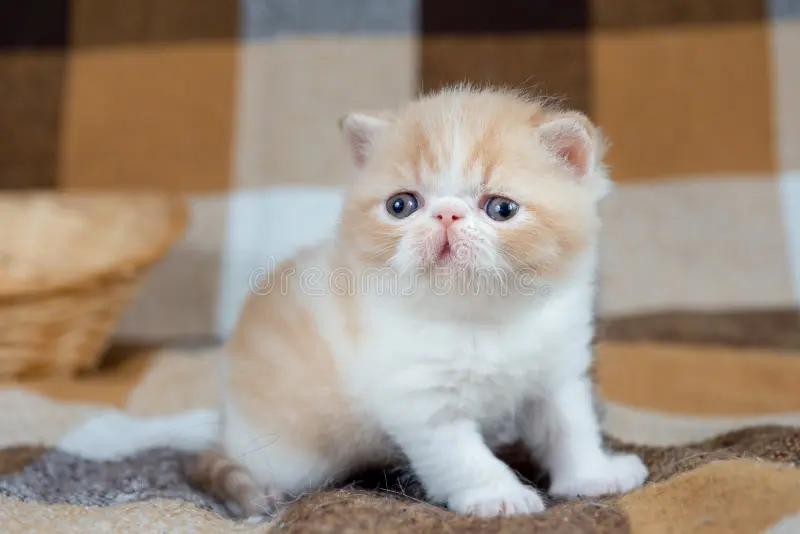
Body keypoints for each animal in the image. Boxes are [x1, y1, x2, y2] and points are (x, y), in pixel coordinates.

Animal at [189, 87, 648, 520]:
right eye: (401, 205)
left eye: (501, 208)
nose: (446, 214)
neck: (483, 319)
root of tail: (227, 416)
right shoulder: (420, 400)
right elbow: (462, 456)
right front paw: (498, 495)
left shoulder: (556, 372)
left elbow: (571, 427)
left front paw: (594, 476)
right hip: (287, 454)